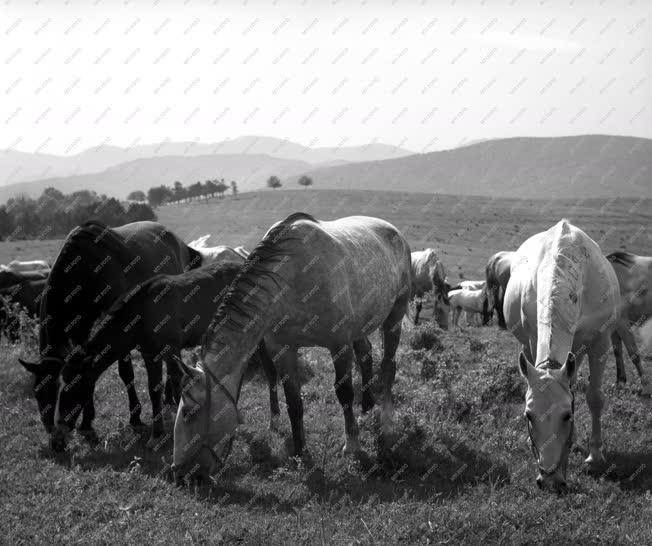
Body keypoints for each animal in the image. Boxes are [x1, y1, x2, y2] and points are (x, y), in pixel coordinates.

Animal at [18, 219, 201, 444]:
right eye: (39, 394)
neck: (86, 269)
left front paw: (135, 419)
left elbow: (126, 373)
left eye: (68, 393)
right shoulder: (81, 332)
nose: (56, 439)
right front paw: (87, 424)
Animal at [52, 260, 280, 450]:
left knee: (269, 370)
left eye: (72, 389)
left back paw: (274, 419)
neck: (142, 313)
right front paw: (157, 435)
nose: (57, 440)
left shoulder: (170, 350)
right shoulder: (150, 354)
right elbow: (154, 389)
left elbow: (178, 382)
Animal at [171, 212, 410, 480]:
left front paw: (352, 445)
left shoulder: (339, 345)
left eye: (189, 412)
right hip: (360, 326)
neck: (292, 278)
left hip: (395, 315)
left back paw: (387, 420)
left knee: (388, 364)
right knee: (366, 356)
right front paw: (300, 452)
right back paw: (367, 408)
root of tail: (392, 230)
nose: (178, 474)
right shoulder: (282, 350)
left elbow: (344, 393)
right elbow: (293, 402)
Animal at [504, 219, 620, 490]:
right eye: (529, 416)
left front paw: (594, 456)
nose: (550, 481)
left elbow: (595, 397)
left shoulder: (601, 342)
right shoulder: (534, 338)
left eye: (567, 415)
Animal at [608, 249, 652, 394]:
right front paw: (620, 381)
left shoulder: (623, 324)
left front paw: (646, 386)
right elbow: (617, 352)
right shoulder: (613, 327)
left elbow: (634, 353)